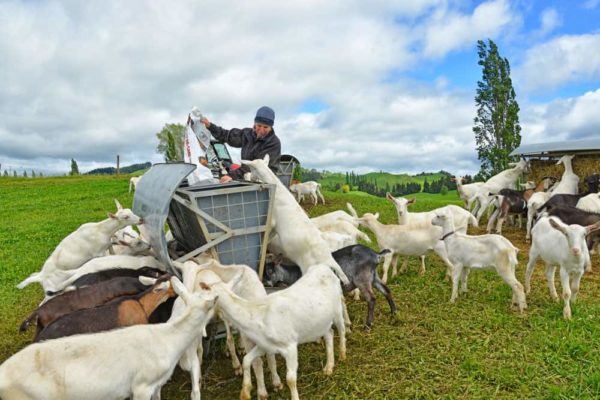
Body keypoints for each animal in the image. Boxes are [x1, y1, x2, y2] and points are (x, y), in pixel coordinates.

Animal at [200, 264, 344, 400]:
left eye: (203, 295)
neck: (259, 315)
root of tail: (324, 267)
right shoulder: (264, 345)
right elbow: (247, 360)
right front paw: (245, 392)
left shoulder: (290, 346)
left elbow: (290, 379)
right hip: (321, 322)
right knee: (329, 333)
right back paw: (328, 367)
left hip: (338, 307)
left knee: (341, 329)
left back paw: (342, 355)